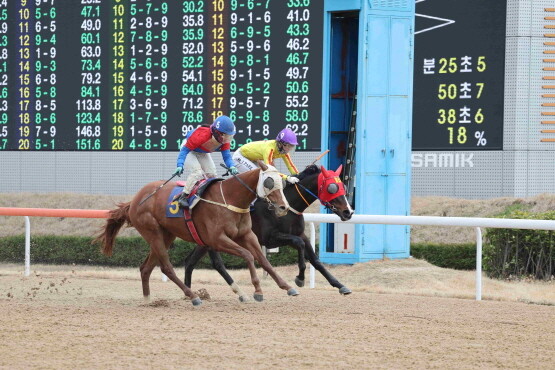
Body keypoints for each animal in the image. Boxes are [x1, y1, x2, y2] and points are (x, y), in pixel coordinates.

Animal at [94, 163, 300, 306]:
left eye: (282, 182)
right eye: (269, 182)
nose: (284, 207)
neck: (230, 199)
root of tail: (135, 199)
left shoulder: (247, 235)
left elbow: (264, 260)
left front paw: (288, 287)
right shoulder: (216, 240)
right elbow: (248, 255)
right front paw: (257, 291)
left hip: (165, 235)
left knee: (146, 268)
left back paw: (148, 300)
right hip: (153, 233)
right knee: (166, 267)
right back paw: (193, 296)